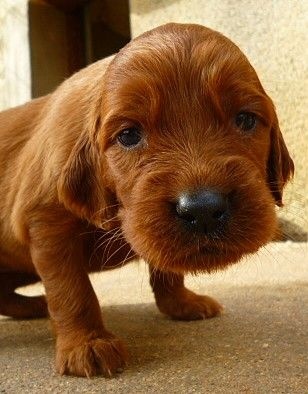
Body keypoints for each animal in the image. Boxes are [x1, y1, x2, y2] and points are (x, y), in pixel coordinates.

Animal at [0, 23, 294, 376]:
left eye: (246, 119)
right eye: (129, 135)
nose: (204, 210)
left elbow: (167, 267)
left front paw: (181, 303)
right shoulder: (45, 218)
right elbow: (70, 288)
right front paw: (87, 344)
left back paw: (34, 305)